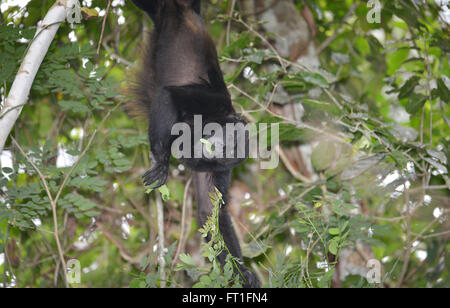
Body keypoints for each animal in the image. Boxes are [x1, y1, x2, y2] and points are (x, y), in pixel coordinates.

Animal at [130, 0, 258, 288]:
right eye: (228, 140)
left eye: (227, 155)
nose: (216, 149)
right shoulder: (213, 102)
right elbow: (168, 95)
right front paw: (162, 162)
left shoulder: (218, 170)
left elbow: (211, 215)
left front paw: (243, 272)